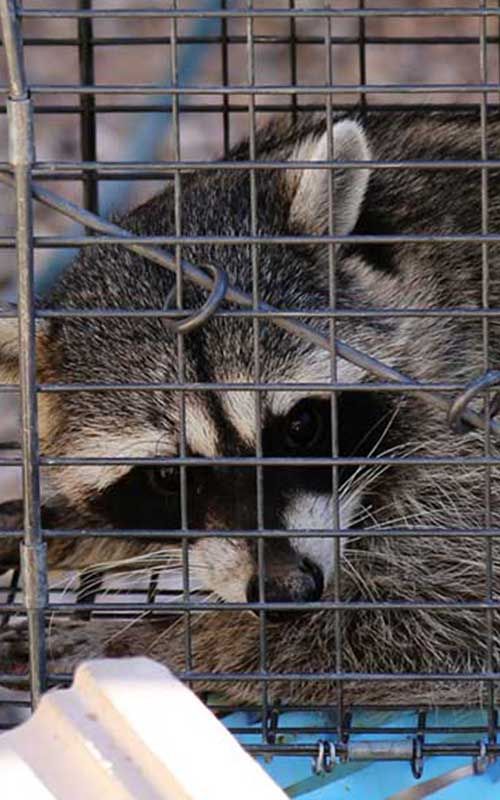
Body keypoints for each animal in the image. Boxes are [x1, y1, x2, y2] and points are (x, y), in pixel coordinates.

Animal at [1, 109, 500, 707]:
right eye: (169, 476)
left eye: (301, 426)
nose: (288, 592)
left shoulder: (469, 410)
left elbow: (440, 612)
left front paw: (161, 645)